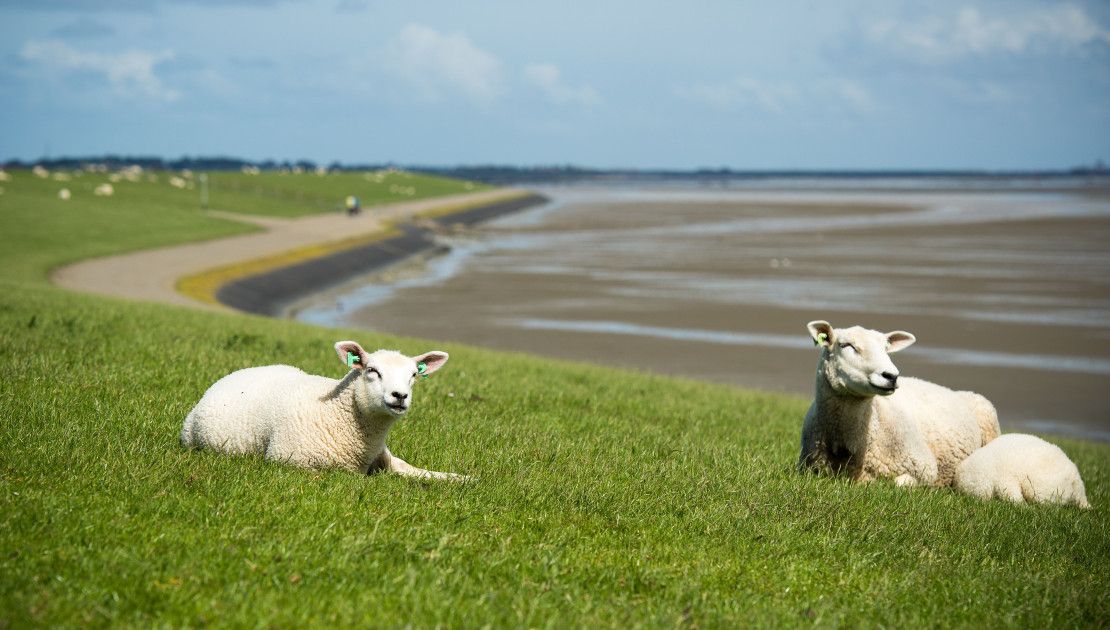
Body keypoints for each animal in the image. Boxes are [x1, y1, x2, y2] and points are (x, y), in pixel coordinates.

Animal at [179, 339, 466, 481]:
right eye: (372, 370)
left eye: (413, 376)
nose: (400, 396)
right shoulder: (287, 460)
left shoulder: (385, 458)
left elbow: (418, 470)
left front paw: (463, 479)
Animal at [794, 319, 1003, 488]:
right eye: (846, 345)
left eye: (886, 348)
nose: (891, 376)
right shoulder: (810, 469)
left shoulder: (925, 468)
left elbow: (897, 483)